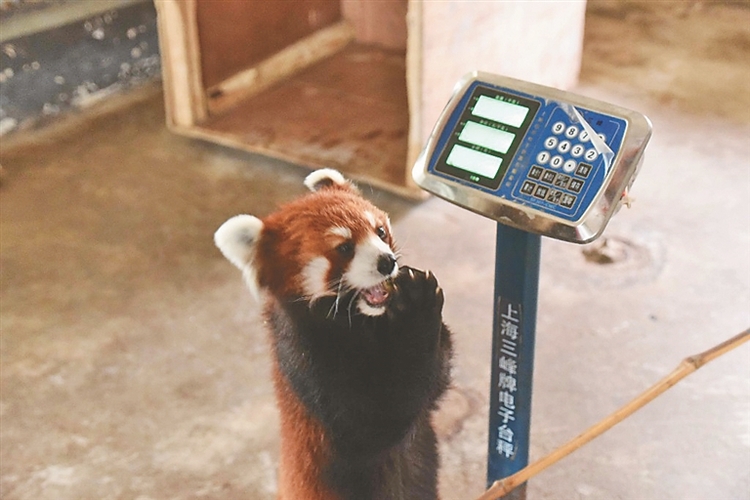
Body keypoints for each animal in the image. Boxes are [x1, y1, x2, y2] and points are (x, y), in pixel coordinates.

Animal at [214, 169, 456, 500]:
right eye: (345, 248)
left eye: (380, 231)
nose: (387, 262)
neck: (361, 322)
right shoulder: (308, 358)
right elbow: (374, 422)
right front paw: (418, 305)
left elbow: (432, 386)